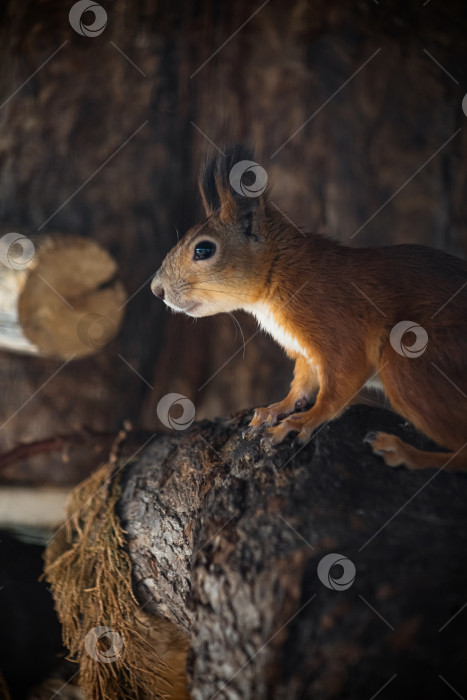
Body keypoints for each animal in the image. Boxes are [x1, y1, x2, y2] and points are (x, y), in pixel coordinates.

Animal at [153, 144, 467, 470]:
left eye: (204, 249)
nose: (156, 289)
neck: (279, 274)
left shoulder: (338, 329)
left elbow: (337, 387)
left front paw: (301, 422)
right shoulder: (304, 350)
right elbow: (302, 383)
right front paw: (276, 408)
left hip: (412, 364)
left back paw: (405, 452)